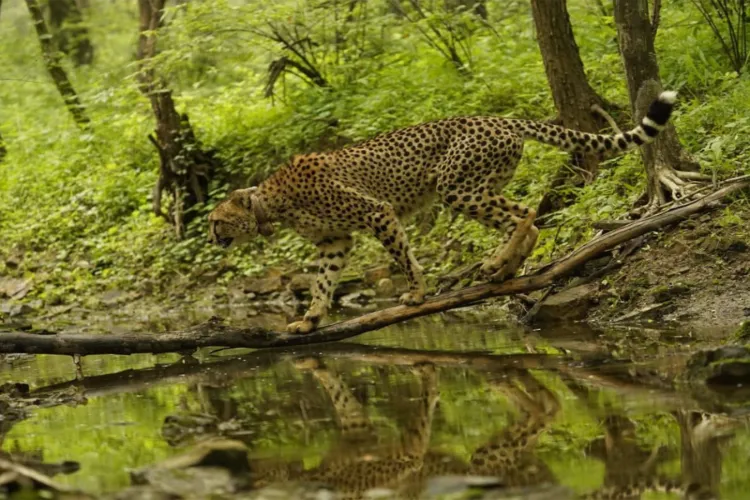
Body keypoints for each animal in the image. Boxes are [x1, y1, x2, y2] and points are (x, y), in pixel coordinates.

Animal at [208, 91, 677, 333]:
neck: (270, 202)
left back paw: (498, 263)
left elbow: (403, 256)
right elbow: (322, 282)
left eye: (216, 220)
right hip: (478, 184)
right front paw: (310, 319)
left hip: (456, 187)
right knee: (526, 217)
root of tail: (499, 118)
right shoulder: (334, 241)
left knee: (524, 212)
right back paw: (507, 269)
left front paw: (417, 294)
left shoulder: (377, 212)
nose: (212, 236)